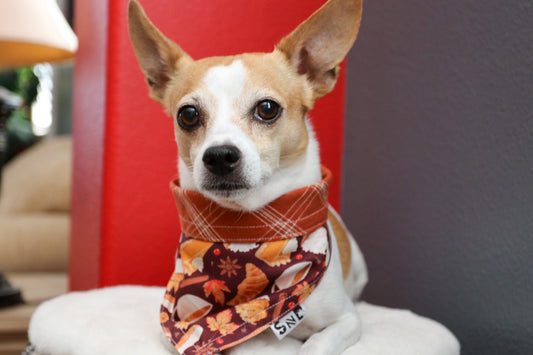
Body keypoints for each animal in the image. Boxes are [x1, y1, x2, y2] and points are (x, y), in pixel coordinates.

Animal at [128, 0, 366, 355]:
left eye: (267, 109)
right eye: (188, 115)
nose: (219, 155)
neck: (247, 230)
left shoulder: (346, 320)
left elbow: (316, 343)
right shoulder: (177, 328)